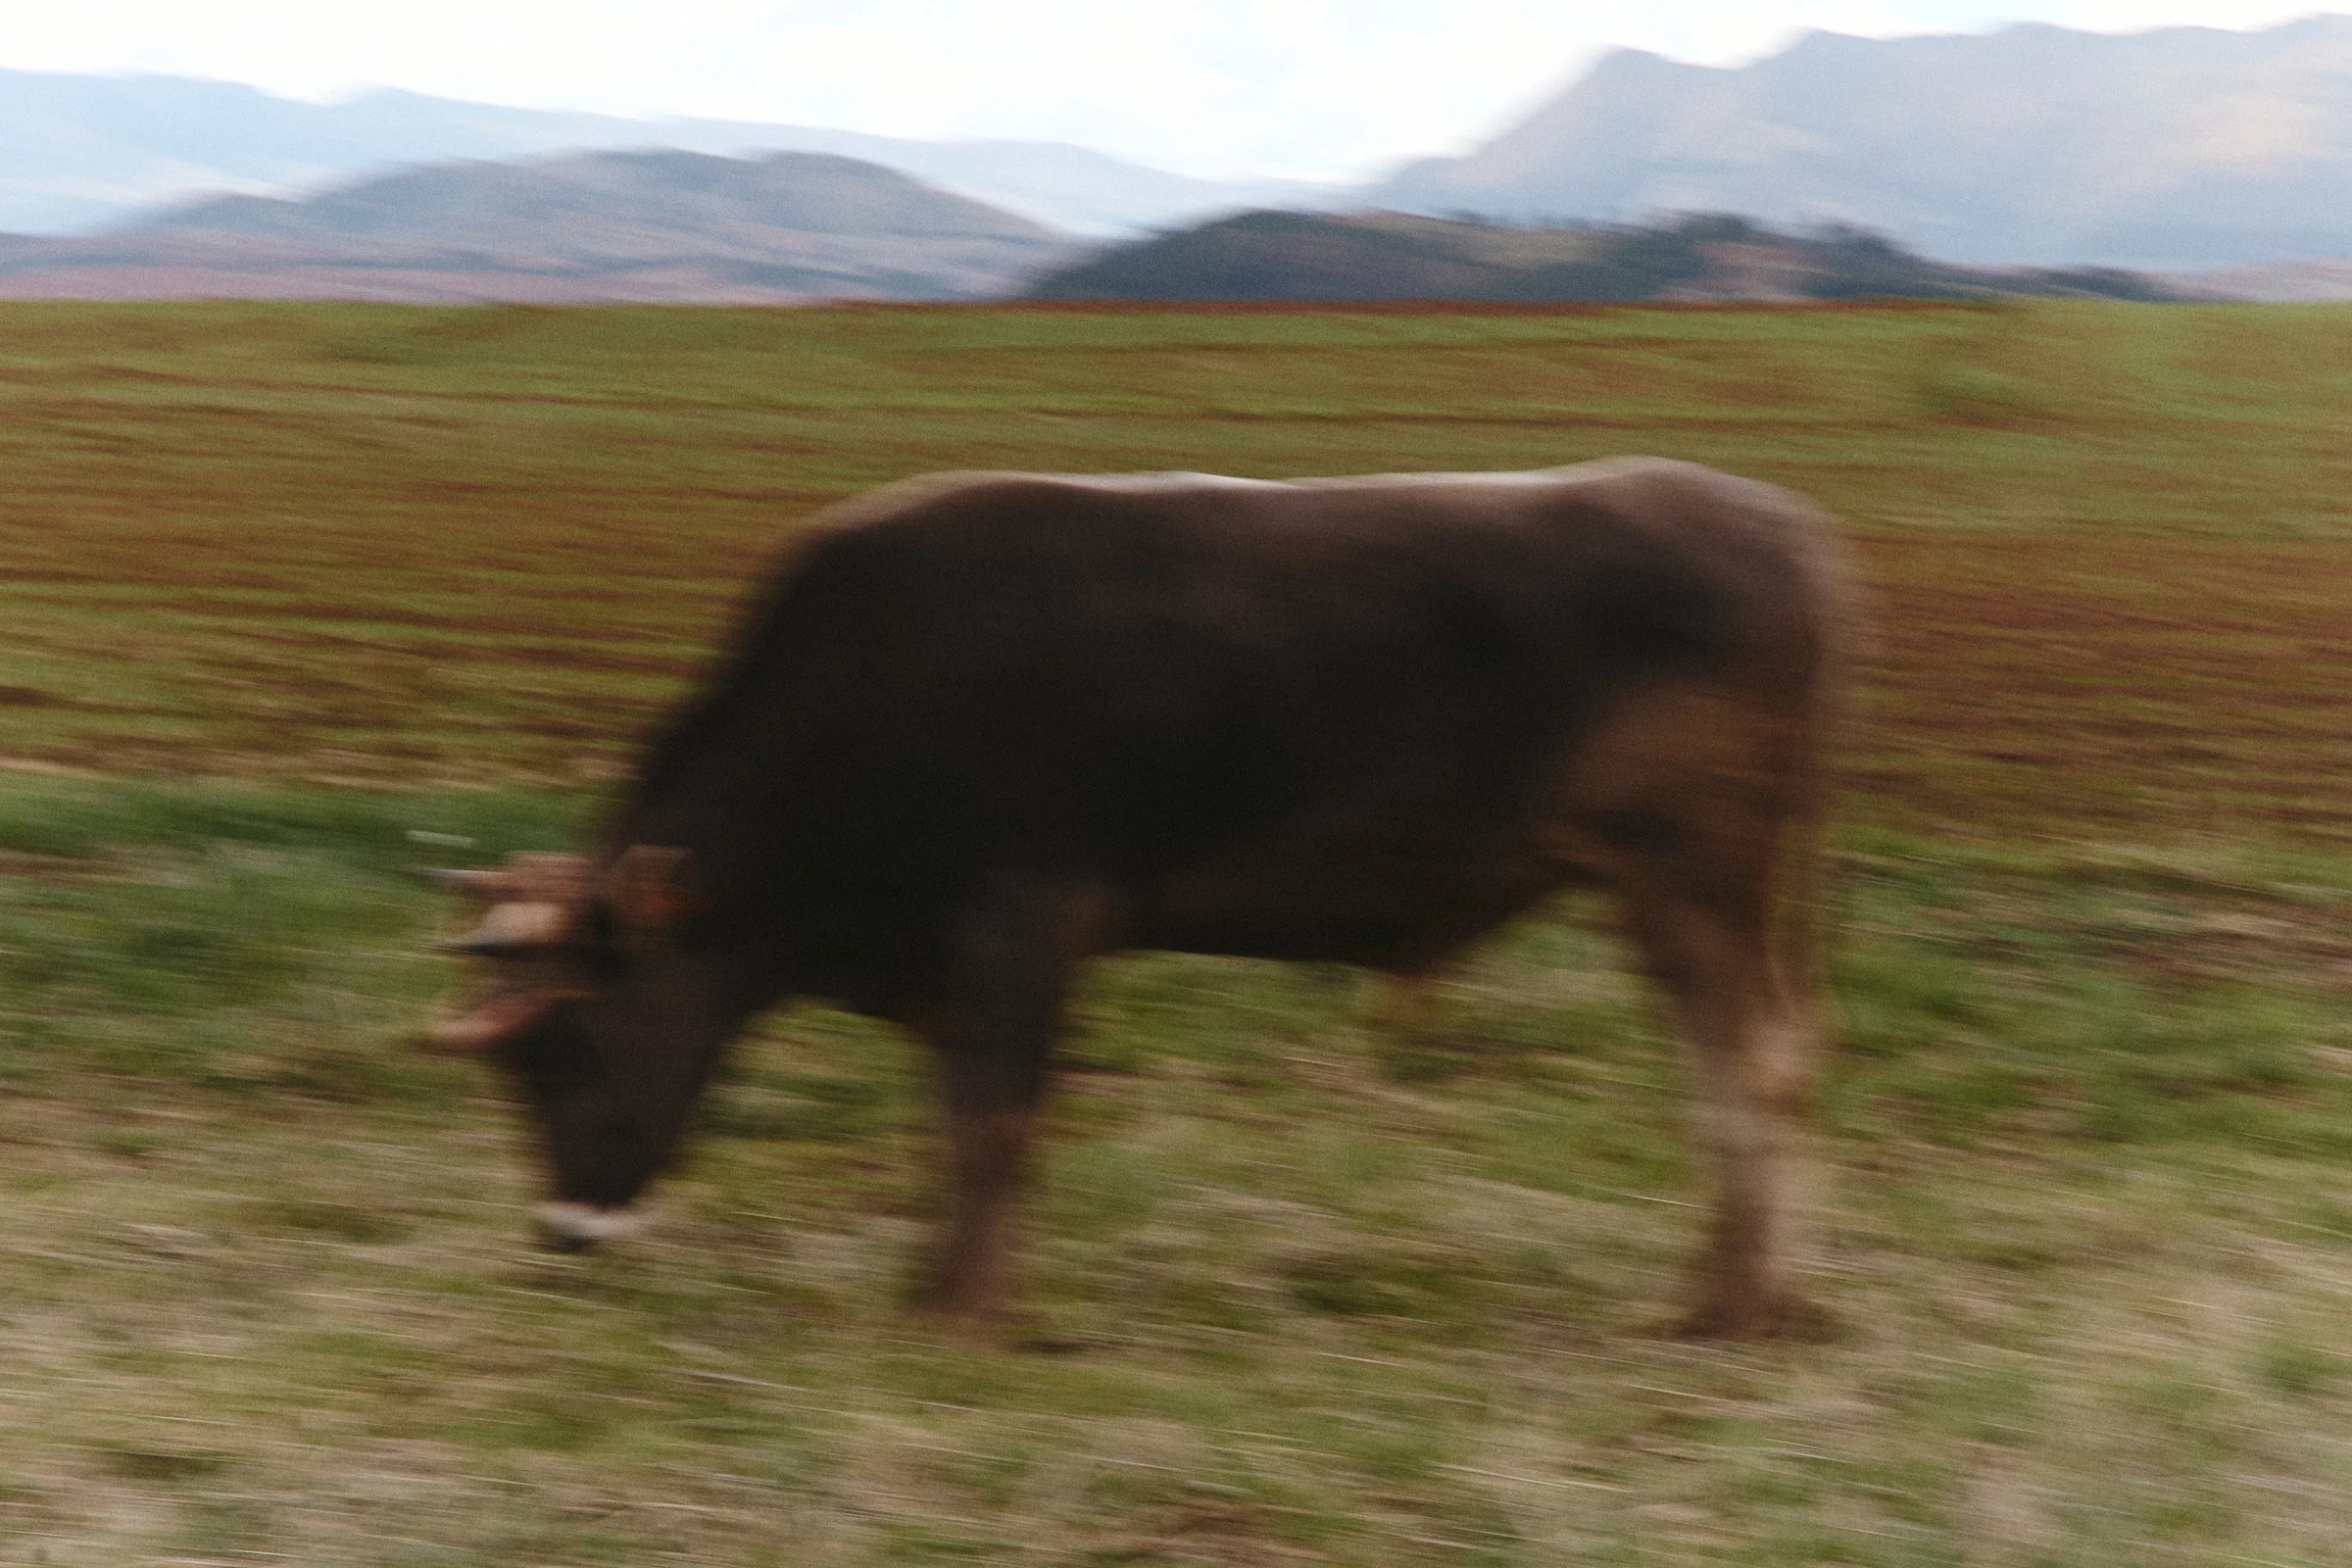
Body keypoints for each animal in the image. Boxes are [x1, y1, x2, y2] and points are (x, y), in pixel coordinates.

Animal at [426, 457, 1849, 1339]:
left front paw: (964, 1317)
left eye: (565, 1043)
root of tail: (1772, 518)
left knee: (1751, 1067)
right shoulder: (959, 962)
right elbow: (956, 1120)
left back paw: (1733, 1309)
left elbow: (994, 1122)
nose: (563, 1234)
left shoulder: (1025, 917)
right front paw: (935, 1288)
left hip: (1696, 880)